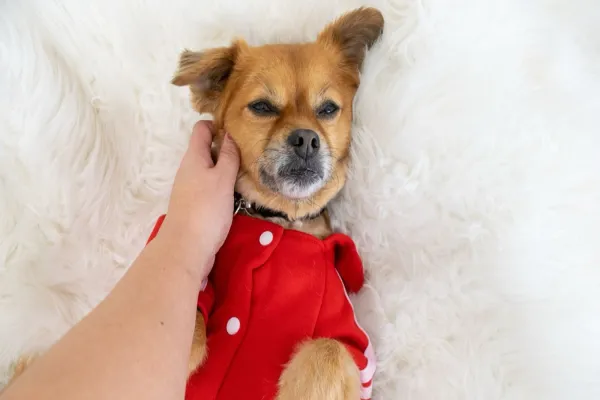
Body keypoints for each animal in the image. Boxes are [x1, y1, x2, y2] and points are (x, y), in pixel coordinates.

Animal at [169, 6, 384, 400]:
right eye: (263, 107)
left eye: (328, 109)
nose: (306, 139)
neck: (282, 220)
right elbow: (190, 313)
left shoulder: (356, 350)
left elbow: (329, 349)